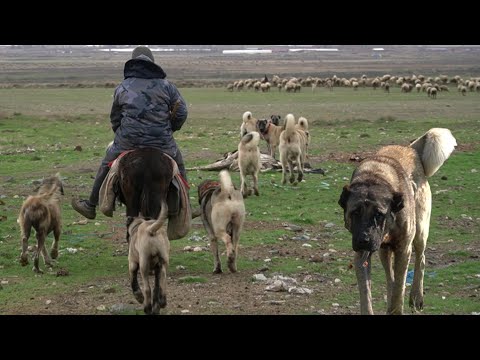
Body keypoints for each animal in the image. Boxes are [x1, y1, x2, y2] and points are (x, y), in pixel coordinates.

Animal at [338, 129, 458, 316]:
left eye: (379, 214)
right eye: (355, 213)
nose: (364, 240)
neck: (375, 178)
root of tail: (410, 148)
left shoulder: (403, 250)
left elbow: (399, 288)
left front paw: (397, 306)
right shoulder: (361, 256)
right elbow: (367, 294)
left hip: (420, 232)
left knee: (420, 260)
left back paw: (416, 297)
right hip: (384, 251)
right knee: (390, 277)